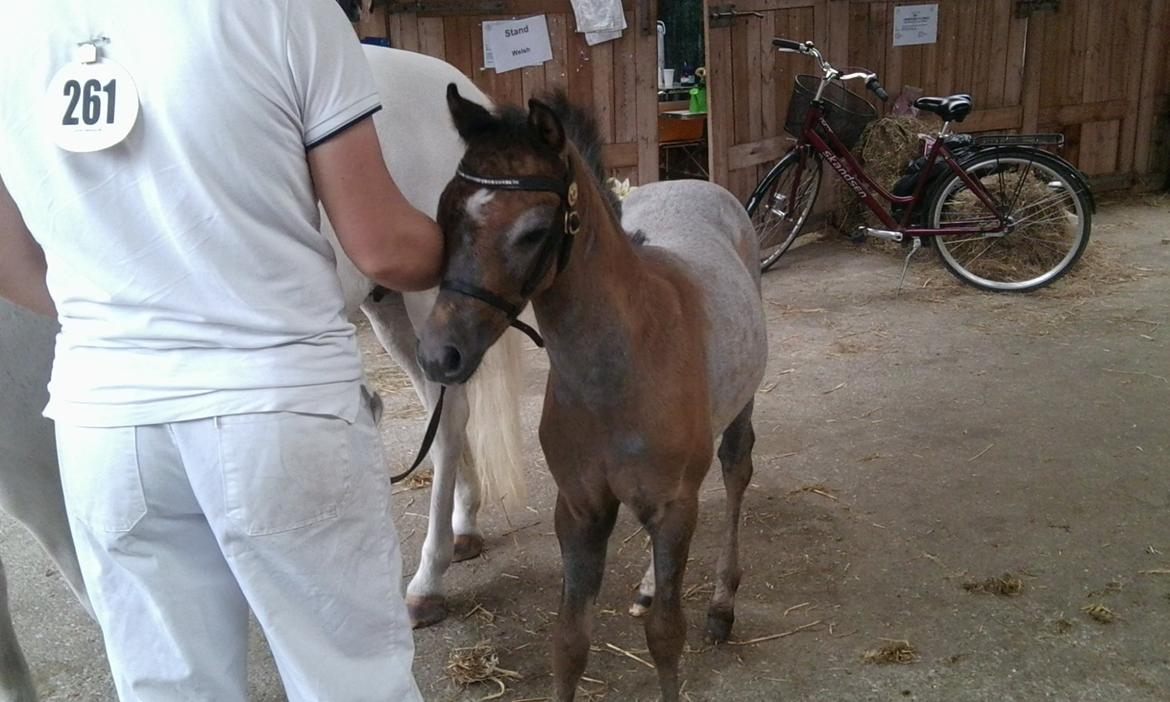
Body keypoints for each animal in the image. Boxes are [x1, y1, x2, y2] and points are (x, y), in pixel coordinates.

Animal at [416, 87, 769, 702]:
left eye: (534, 231)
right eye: (444, 215)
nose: (441, 355)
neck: (618, 370)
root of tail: (694, 182)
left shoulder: (674, 504)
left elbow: (665, 638)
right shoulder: (579, 508)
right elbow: (570, 642)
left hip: (736, 415)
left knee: (735, 470)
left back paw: (723, 604)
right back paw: (650, 586)